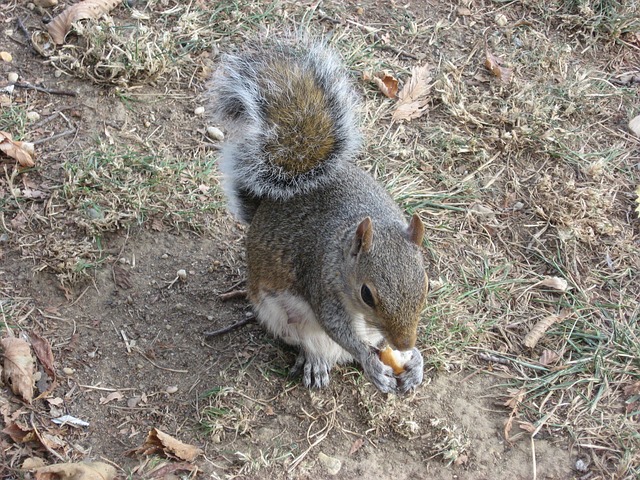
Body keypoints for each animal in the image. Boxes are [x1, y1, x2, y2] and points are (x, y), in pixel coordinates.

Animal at [211, 39, 430, 394]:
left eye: (425, 285)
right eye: (366, 294)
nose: (405, 343)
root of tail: (264, 209)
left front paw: (415, 360)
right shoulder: (321, 281)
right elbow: (336, 326)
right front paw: (371, 361)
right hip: (281, 315)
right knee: (313, 343)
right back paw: (317, 362)